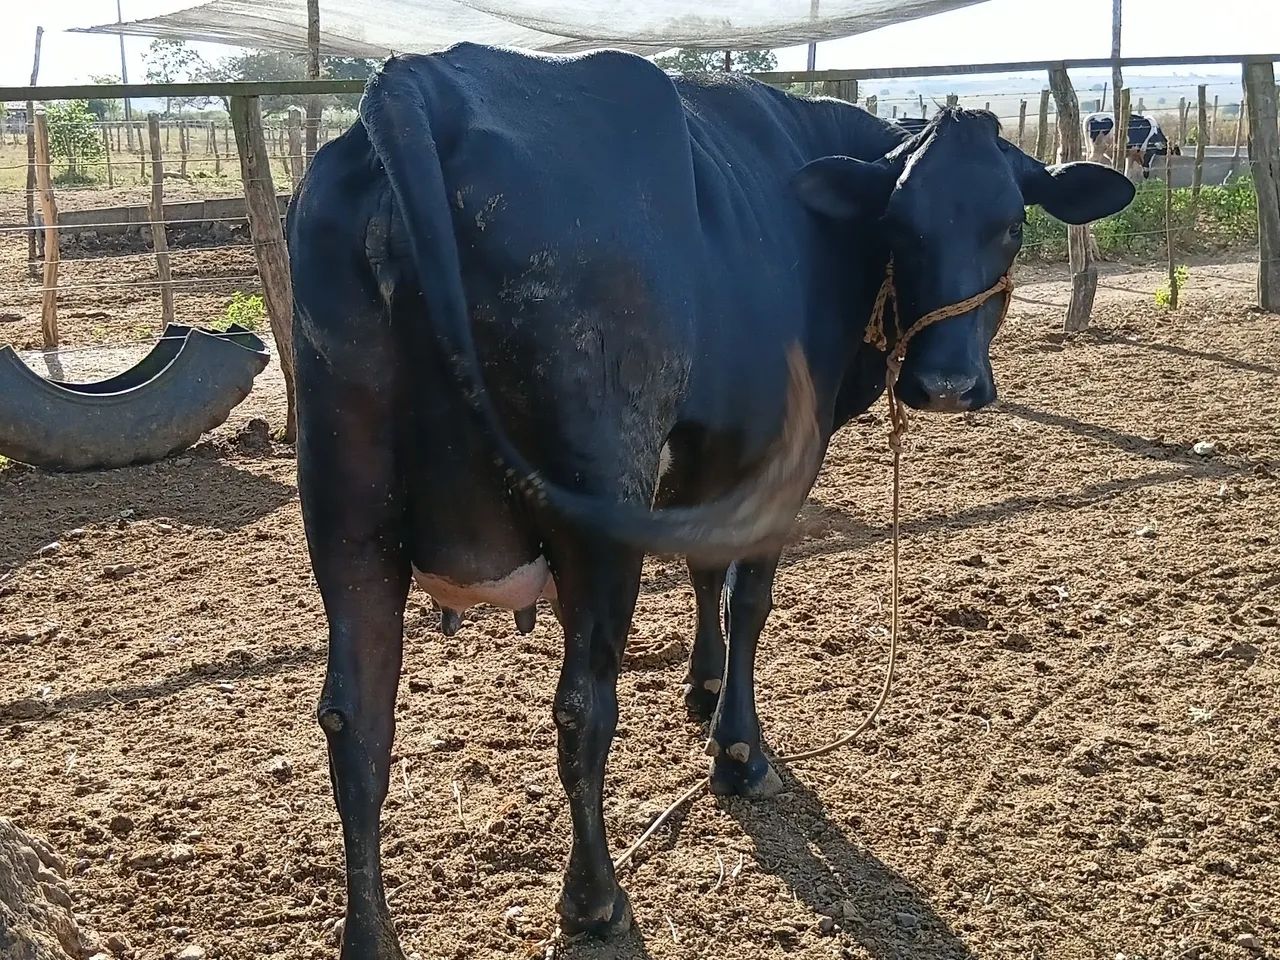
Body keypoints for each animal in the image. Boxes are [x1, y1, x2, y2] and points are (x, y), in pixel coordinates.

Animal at [285, 42, 1135, 958]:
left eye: (1009, 223)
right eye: (904, 226)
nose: (943, 384)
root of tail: (421, 82)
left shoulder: (704, 456)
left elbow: (702, 570)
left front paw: (700, 686)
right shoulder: (783, 459)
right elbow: (747, 596)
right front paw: (737, 749)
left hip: (347, 520)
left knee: (357, 726)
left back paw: (370, 935)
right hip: (593, 513)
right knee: (582, 707)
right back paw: (595, 899)